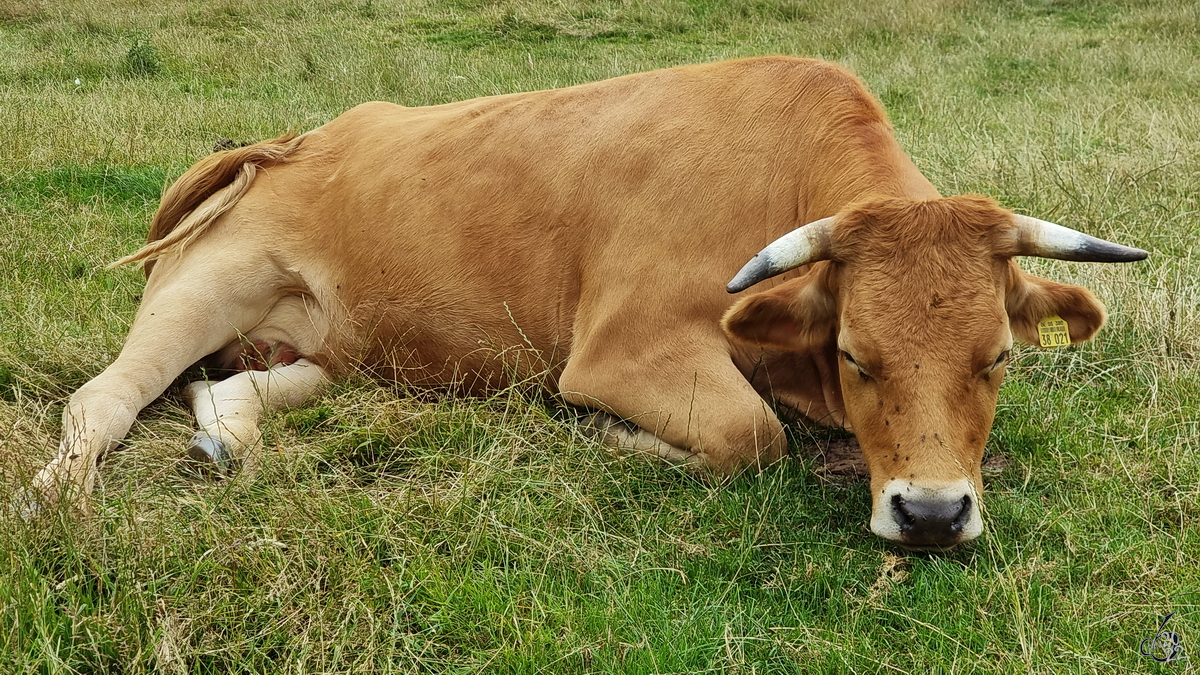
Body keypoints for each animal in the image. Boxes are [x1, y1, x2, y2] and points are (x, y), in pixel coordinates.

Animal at [25, 56, 1142, 547]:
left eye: (999, 356)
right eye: (856, 354)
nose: (932, 514)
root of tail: (300, 139)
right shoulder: (622, 353)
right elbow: (750, 437)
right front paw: (607, 439)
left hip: (329, 351)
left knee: (231, 389)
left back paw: (226, 437)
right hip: (204, 287)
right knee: (101, 400)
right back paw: (55, 502)